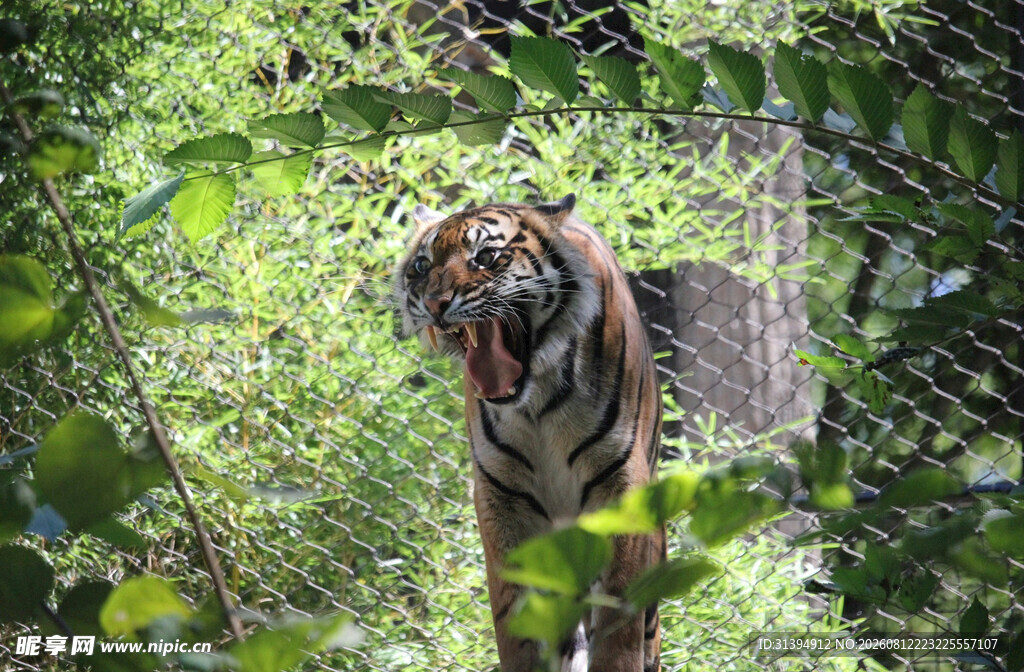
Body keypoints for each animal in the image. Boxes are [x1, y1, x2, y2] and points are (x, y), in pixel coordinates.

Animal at [395, 194, 665, 672]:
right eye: (422, 266)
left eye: (485, 257)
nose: (434, 303)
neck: (537, 400)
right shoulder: (502, 495)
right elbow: (516, 618)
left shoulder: (619, 483)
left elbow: (618, 621)